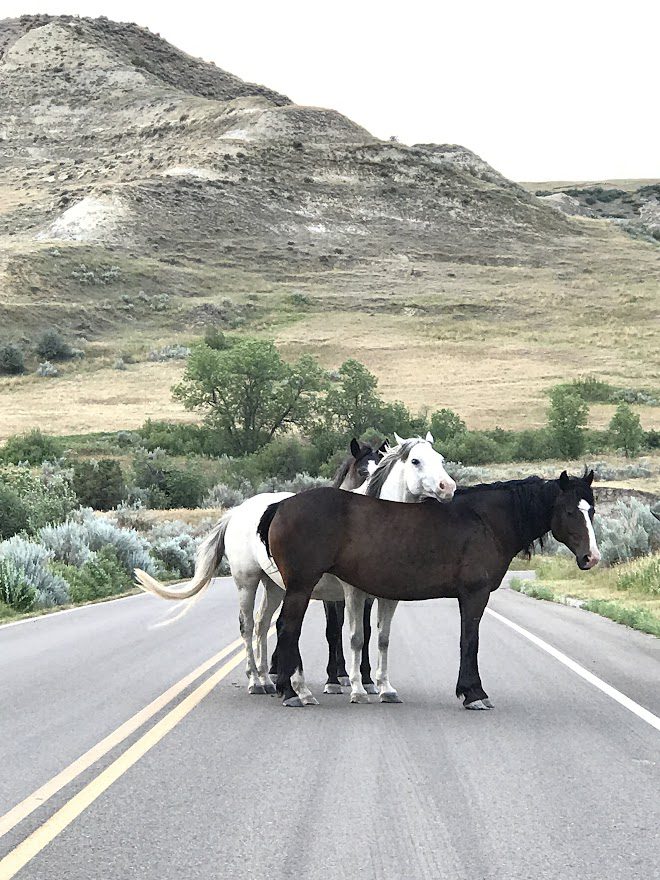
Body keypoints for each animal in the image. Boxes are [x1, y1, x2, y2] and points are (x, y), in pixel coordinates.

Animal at [134, 434, 454, 708]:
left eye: (440, 458)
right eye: (416, 461)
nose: (447, 487)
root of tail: (237, 512)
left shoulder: (384, 596)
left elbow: (381, 638)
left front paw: (383, 687)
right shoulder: (349, 593)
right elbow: (351, 636)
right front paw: (353, 687)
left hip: (275, 586)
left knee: (263, 625)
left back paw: (268, 679)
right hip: (248, 582)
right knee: (249, 626)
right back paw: (259, 682)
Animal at [260, 470, 600, 704]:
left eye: (592, 510)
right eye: (570, 511)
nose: (591, 557)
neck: (485, 521)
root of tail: (281, 505)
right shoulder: (474, 595)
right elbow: (469, 641)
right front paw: (474, 693)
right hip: (301, 586)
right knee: (287, 628)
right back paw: (292, 692)